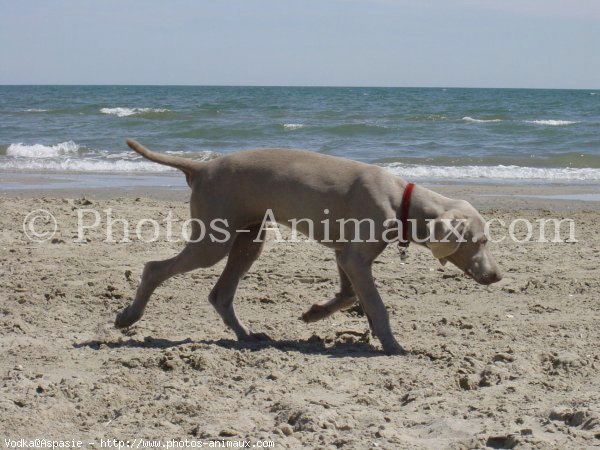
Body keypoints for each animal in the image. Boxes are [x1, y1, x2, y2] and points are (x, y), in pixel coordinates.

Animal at [113, 141, 502, 356]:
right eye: (480, 241)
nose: (498, 276)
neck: (402, 201)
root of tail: (203, 166)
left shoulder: (345, 254)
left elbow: (349, 295)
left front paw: (314, 313)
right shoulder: (355, 257)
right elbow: (376, 305)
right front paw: (393, 346)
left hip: (249, 238)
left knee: (220, 294)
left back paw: (248, 336)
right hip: (214, 239)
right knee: (154, 268)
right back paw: (129, 316)